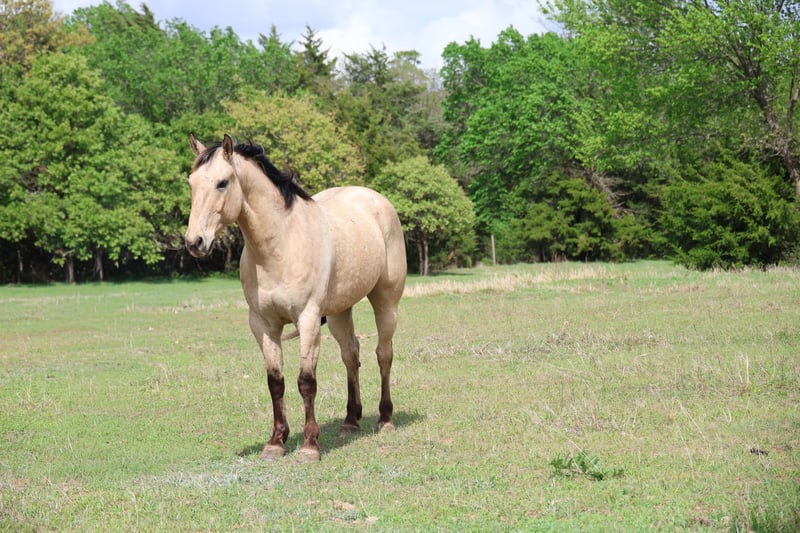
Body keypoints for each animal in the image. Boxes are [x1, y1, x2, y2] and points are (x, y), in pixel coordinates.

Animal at [184, 134, 407, 462]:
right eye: (191, 183)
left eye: (222, 183)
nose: (195, 242)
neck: (281, 244)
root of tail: (375, 199)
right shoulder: (263, 325)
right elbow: (275, 382)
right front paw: (276, 442)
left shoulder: (308, 319)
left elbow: (306, 381)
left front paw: (310, 445)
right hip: (340, 311)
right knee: (350, 355)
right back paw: (350, 421)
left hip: (386, 301)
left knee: (384, 354)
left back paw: (385, 419)